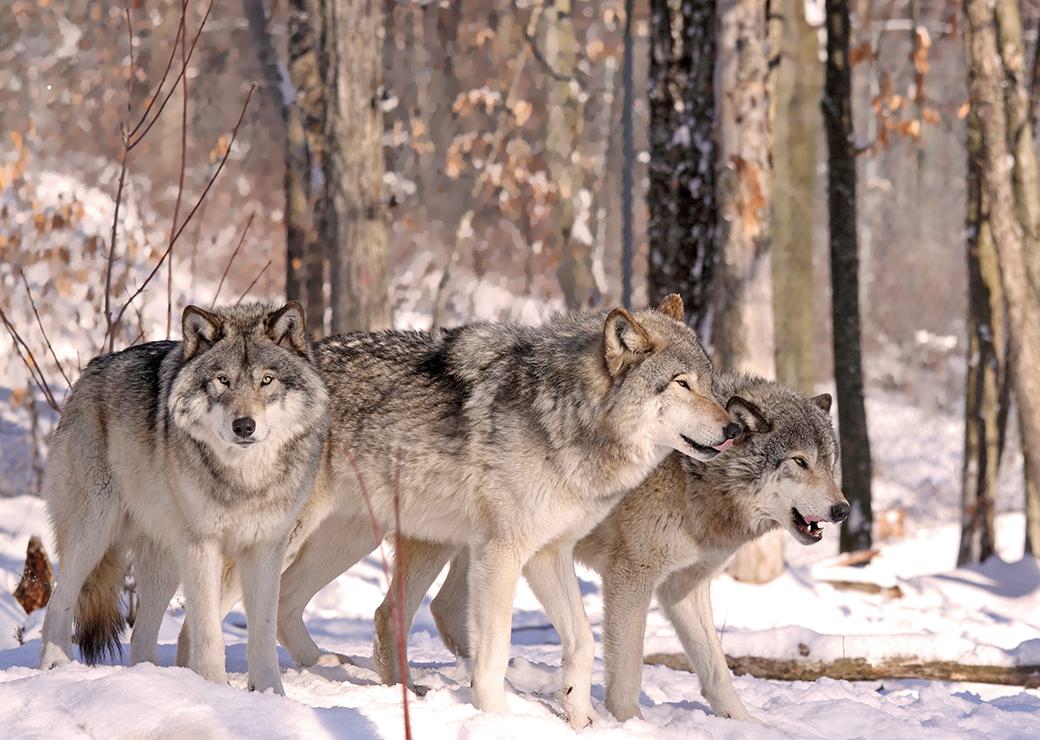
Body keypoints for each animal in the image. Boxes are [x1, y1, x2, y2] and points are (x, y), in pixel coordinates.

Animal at [39, 301, 324, 694]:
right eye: (223, 380)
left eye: (267, 380)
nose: (244, 426)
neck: (245, 478)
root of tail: (91, 371)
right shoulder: (203, 545)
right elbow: (208, 632)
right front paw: (216, 689)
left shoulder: (266, 548)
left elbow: (263, 634)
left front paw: (270, 695)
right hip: (93, 532)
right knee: (58, 602)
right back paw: (57, 666)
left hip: (166, 560)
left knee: (141, 635)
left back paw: (153, 683)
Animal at [185, 291, 740, 727]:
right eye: (681, 383)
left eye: (711, 382)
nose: (733, 428)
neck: (565, 415)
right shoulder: (501, 553)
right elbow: (493, 654)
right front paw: (497, 719)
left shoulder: (548, 554)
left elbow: (583, 643)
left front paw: (581, 720)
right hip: (283, 540)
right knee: (203, 619)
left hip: (364, 540)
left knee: (304, 608)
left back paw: (341, 674)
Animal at [378, 372, 848, 719]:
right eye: (799, 462)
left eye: (829, 463)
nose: (842, 509)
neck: (696, 477)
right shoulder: (630, 579)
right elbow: (627, 673)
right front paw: (628, 723)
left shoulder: (683, 590)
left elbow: (718, 671)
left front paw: (745, 725)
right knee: (390, 612)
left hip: (483, 548)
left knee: (445, 608)